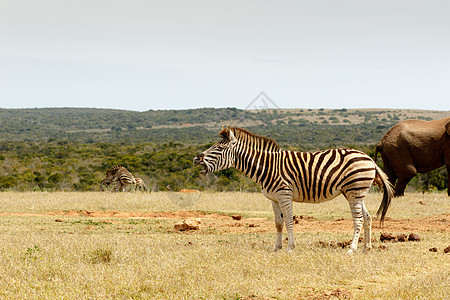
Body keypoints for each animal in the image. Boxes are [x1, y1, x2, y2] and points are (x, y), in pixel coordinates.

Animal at [193, 126, 394, 253]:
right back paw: (366, 248)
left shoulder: (284, 195)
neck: (267, 167)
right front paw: (276, 248)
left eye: (219, 148)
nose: (196, 158)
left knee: (358, 219)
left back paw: (352, 249)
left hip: (354, 191)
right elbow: (278, 223)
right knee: (367, 217)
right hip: (355, 193)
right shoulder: (273, 198)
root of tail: (369, 158)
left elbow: (289, 221)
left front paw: (290, 248)